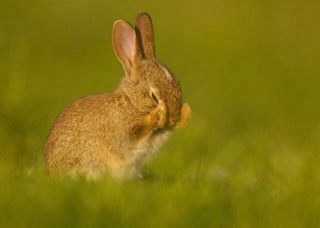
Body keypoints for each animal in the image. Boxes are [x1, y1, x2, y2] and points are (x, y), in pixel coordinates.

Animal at [43, 12, 191, 180]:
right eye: (153, 96)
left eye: (178, 88)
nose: (173, 117)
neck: (131, 104)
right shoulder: (122, 133)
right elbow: (137, 132)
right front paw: (157, 115)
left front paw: (185, 113)